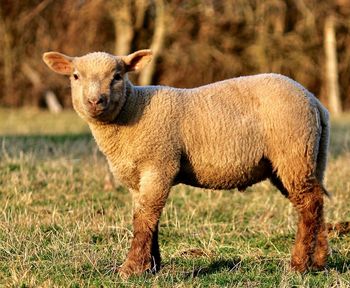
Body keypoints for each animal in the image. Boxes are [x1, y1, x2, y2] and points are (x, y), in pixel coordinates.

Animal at [42, 50, 330, 280]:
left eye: (117, 76)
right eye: (75, 76)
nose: (95, 101)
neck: (132, 111)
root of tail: (314, 102)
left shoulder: (159, 163)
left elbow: (146, 217)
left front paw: (131, 269)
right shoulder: (138, 177)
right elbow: (144, 217)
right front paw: (151, 266)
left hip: (293, 151)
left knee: (309, 203)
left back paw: (298, 265)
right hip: (307, 158)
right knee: (316, 203)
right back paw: (318, 262)